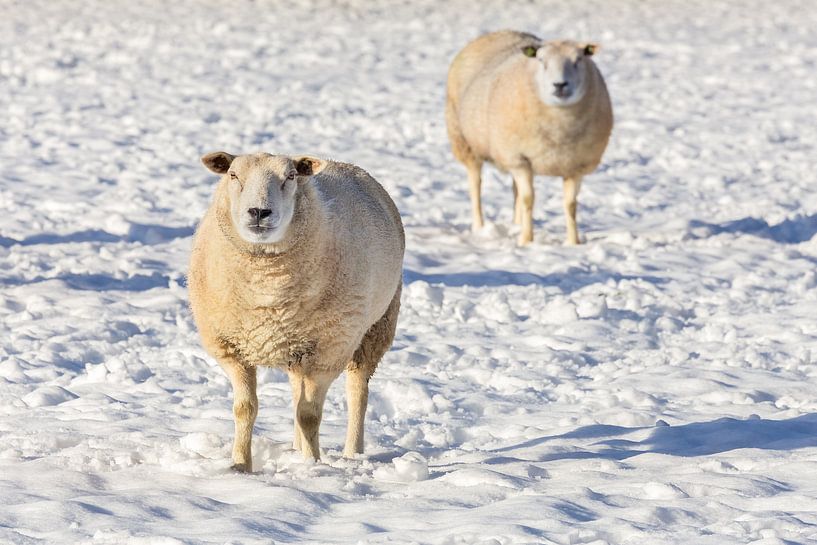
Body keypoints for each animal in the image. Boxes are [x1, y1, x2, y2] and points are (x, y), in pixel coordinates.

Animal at [188, 151, 404, 471]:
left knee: (357, 393)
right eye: (233, 175)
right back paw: (295, 448)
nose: (259, 212)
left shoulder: (329, 351)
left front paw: (312, 465)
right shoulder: (232, 349)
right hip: (296, 346)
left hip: (375, 327)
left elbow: (310, 415)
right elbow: (245, 409)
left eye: (290, 177)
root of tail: (338, 162)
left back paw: (351, 453)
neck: (266, 292)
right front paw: (240, 465)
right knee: (295, 392)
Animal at [446, 31, 613, 245]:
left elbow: (570, 205)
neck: (559, 131)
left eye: (579, 60)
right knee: (476, 186)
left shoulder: (576, 165)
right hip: (466, 143)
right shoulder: (519, 158)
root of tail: (499, 32)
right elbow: (528, 199)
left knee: (514, 190)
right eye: (542, 61)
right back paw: (479, 227)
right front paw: (526, 240)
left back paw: (516, 224)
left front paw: (573, 242)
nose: (560, 85)